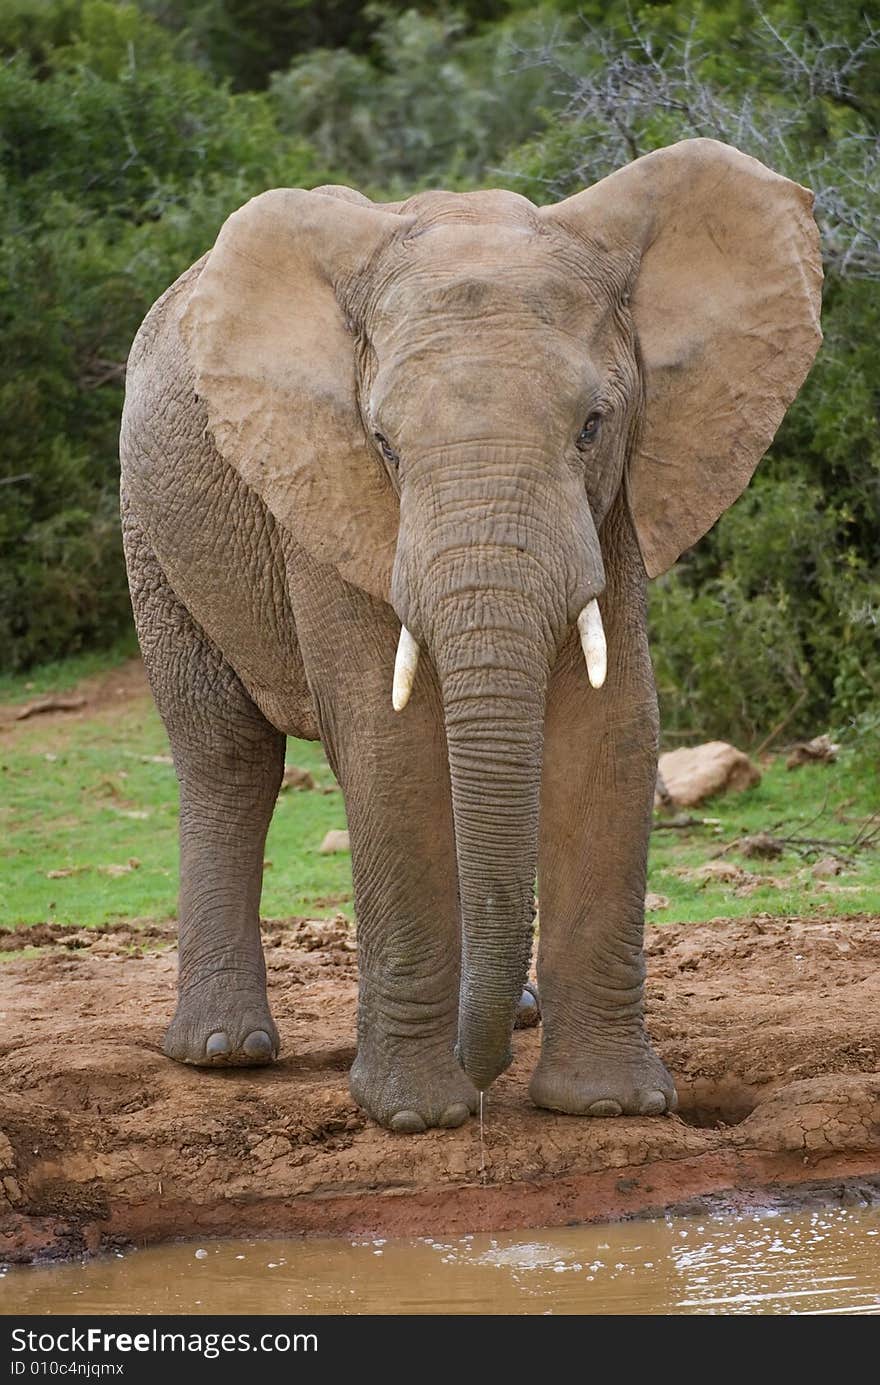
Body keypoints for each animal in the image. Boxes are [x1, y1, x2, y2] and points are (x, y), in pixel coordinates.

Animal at [118, 137, 825, 1135]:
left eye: (592, 426)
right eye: (384, 446)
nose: (482, 1074)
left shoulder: (614, 501)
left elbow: (612, 729)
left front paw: (607, 1104)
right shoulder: (323, 492)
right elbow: (389, 746)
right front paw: (417, 1115)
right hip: (153, 531)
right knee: (226, 755)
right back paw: (223, 1052)